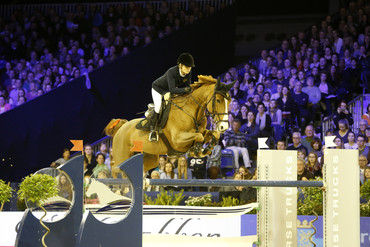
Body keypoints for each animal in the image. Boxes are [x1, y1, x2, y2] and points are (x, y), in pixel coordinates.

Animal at [104, 75, 234, 172]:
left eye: (230, 101)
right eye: (218, 100)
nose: (224, 127)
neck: (191, 112)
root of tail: (120, 128)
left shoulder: (201, 131)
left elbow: (212, 134)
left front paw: (205, 149)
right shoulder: (177, 140)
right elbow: (199, 136)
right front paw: (197, 149)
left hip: (149, 158)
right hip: (122, 158)